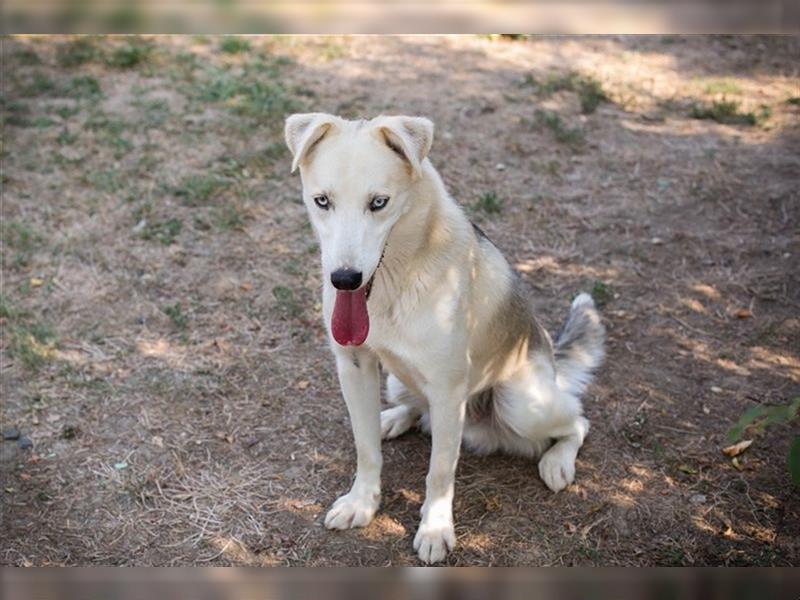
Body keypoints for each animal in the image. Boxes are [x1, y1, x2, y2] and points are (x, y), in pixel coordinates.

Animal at [284, 112, 604, 564]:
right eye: (322, 201)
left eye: (378, 203)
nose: (344, 279)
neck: (393, 284)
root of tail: (553, 363)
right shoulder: (355, 365)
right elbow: (366, 447)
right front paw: (362, 503)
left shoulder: (449, 389)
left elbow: (439, 472)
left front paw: (435, 530)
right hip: (396, 380)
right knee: (417, 411)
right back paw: (394, 418)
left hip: (522, 405)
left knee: (578, 420)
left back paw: (558, 461)